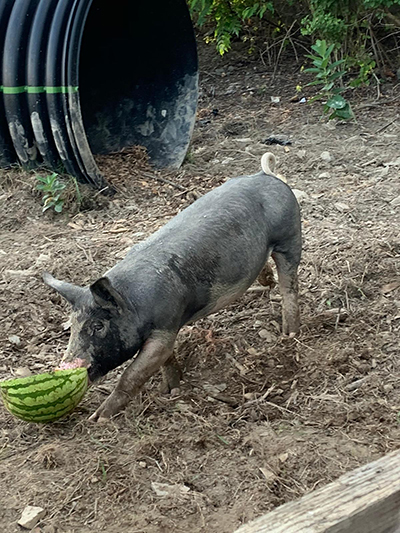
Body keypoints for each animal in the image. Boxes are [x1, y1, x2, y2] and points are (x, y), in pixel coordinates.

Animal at [43, 152, 300, 422]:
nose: (65, 366)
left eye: (98, 326)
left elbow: (132, 374)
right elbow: (166, 359)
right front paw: (170, 390)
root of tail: (267, 175)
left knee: (289, 287)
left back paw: (290, 333)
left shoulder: (165, 326)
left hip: (289, 238)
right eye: (72, 326)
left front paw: (99, 418)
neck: (133, 301)